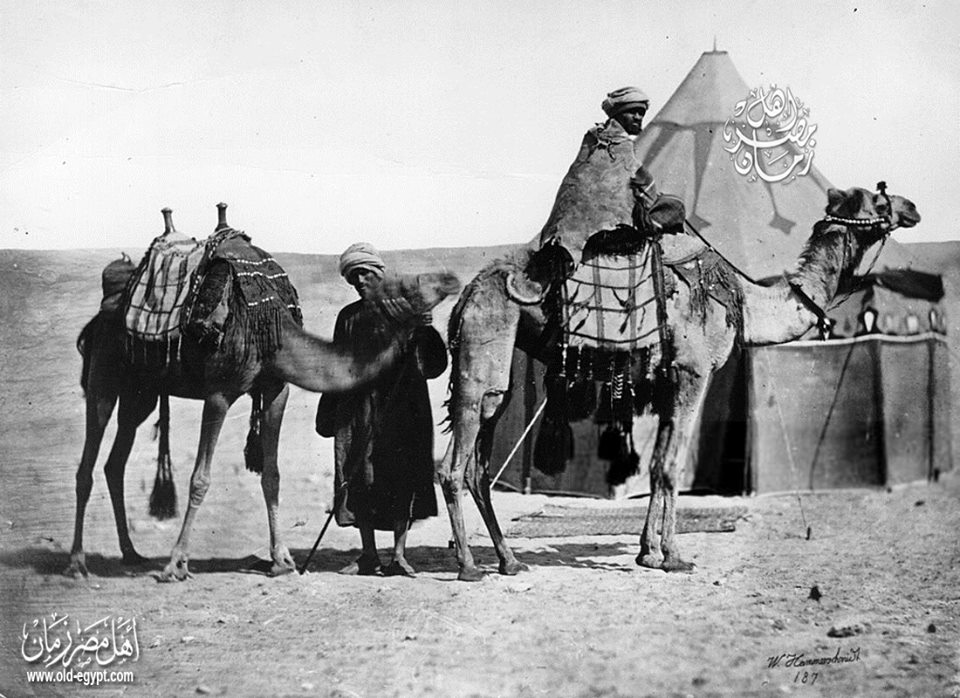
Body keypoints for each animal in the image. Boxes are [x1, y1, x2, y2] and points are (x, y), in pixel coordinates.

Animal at [68, 206, 461, 581]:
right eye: (411, 284)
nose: (451, 277)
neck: (269, 324)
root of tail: (102, 317)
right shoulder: (219, 392)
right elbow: (199, 479)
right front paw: (176, 565)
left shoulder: (276, 391)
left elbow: (272, 475)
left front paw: (282, 560)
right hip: (104, 378)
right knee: (88, 462)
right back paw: (77, 563)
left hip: (141, 394)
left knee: (114, 463)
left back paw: (131, 554)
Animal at [439, 185, 921, 581]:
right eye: (879, 199)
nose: (912, 207)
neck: (745, 301)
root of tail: (466, 294)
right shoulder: (694, 371)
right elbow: (671, 466)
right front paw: (673, 555)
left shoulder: (667, 382)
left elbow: (656, 465)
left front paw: (647, 552)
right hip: (484, 347)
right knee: (453, 465)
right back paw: (468, 565)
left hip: (497, 371)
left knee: (479, 465)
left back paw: (509, 561)